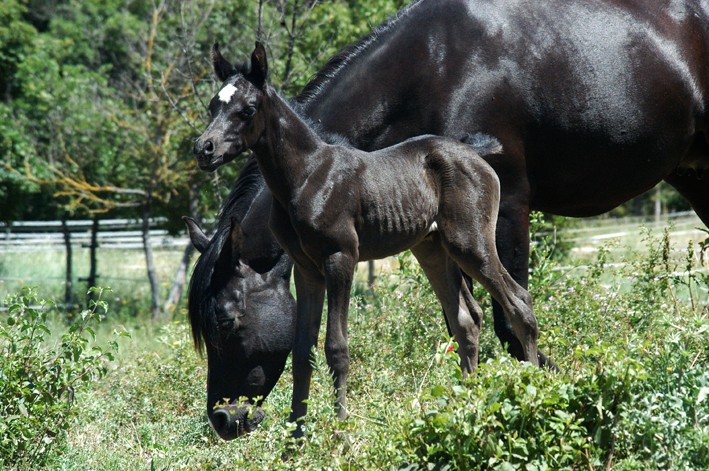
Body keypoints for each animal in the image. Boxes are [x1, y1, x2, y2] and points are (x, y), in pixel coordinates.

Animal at [189, 0, 708, 440]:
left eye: (227, 321)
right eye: (212, 105)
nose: (223, 418)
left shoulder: (353, 254)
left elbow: (343, 344)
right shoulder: (311, 267)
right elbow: (307, 349)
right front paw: (299, 439)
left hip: (469, 241)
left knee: (516, 305)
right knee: (468, 318)